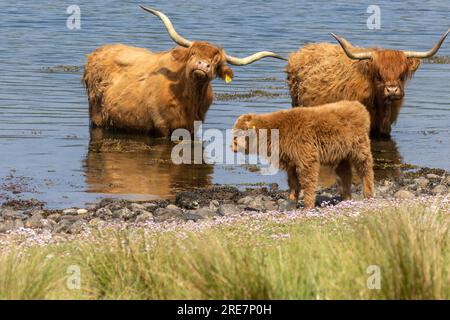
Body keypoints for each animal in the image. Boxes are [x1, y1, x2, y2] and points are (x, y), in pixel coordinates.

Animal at [83, 6, 284, 136]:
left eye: (216, 61)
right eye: (193, 53)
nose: (203, 65)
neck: (187, 98)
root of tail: (97, 52)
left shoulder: (193, 126)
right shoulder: (162, 127)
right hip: (97, 116)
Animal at [230, 100, 374, 210]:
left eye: (235, 136)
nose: (231, 147)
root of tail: (359, 106)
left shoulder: (306, 154)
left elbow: (307, 180)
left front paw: (308, 205)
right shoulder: (291, 160)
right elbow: (293, 182)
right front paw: (291, 200)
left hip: (359, 146)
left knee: (365, 168)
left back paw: (368, 193)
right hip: (341, 153)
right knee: (344, 174)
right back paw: (346, 198)